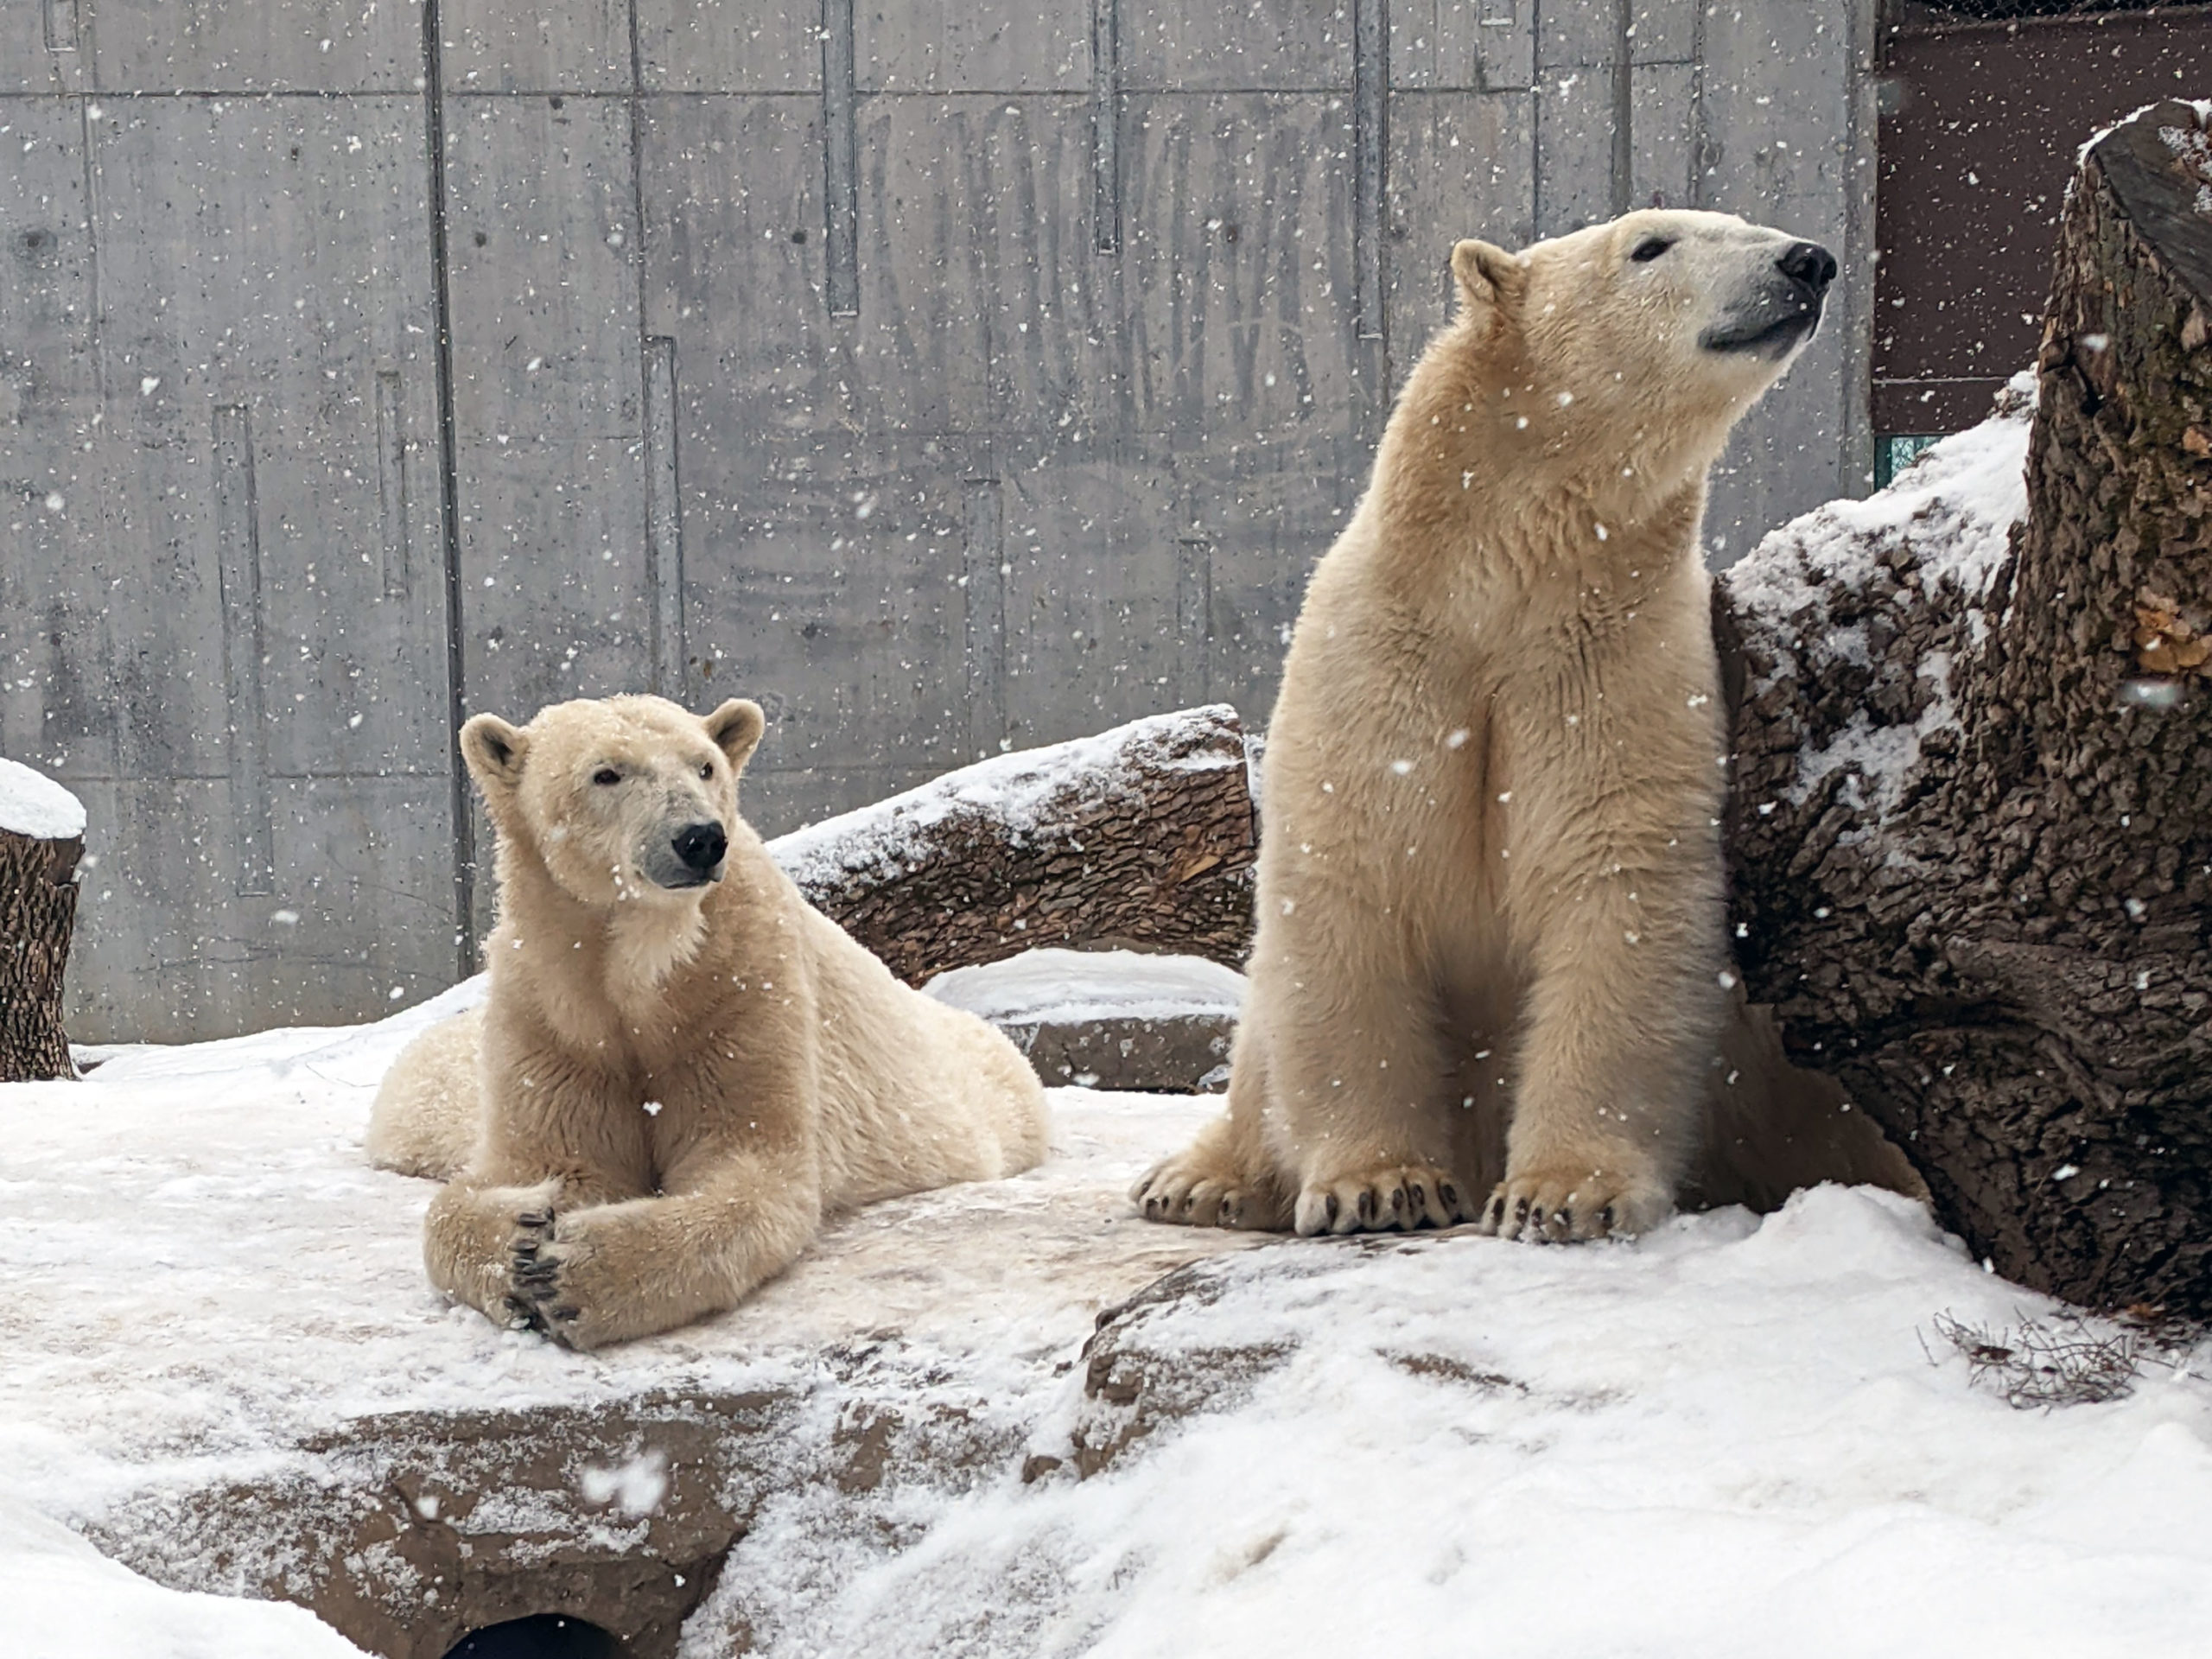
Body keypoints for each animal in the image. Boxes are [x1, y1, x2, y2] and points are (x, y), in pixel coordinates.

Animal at [366, 693, 1050, 1347]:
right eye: (607, 773)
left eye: (706, 766)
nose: (699, 838)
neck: (644, 973)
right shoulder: (550, 1008)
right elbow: (537, 1164)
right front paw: (520, 1242)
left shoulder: (742, 989)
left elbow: (748, 1163)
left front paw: (573, 1274)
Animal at [1132, 208, 1847, 1242]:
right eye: (1650, 245)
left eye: (1743, 219)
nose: (1807, 261)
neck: (1503, 578)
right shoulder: (1384, 654)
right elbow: (1355, 878)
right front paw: (1381, 1184)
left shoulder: (1618, 657)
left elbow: (1614, 882)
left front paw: (1563, 1195)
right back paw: (1198, 1180)